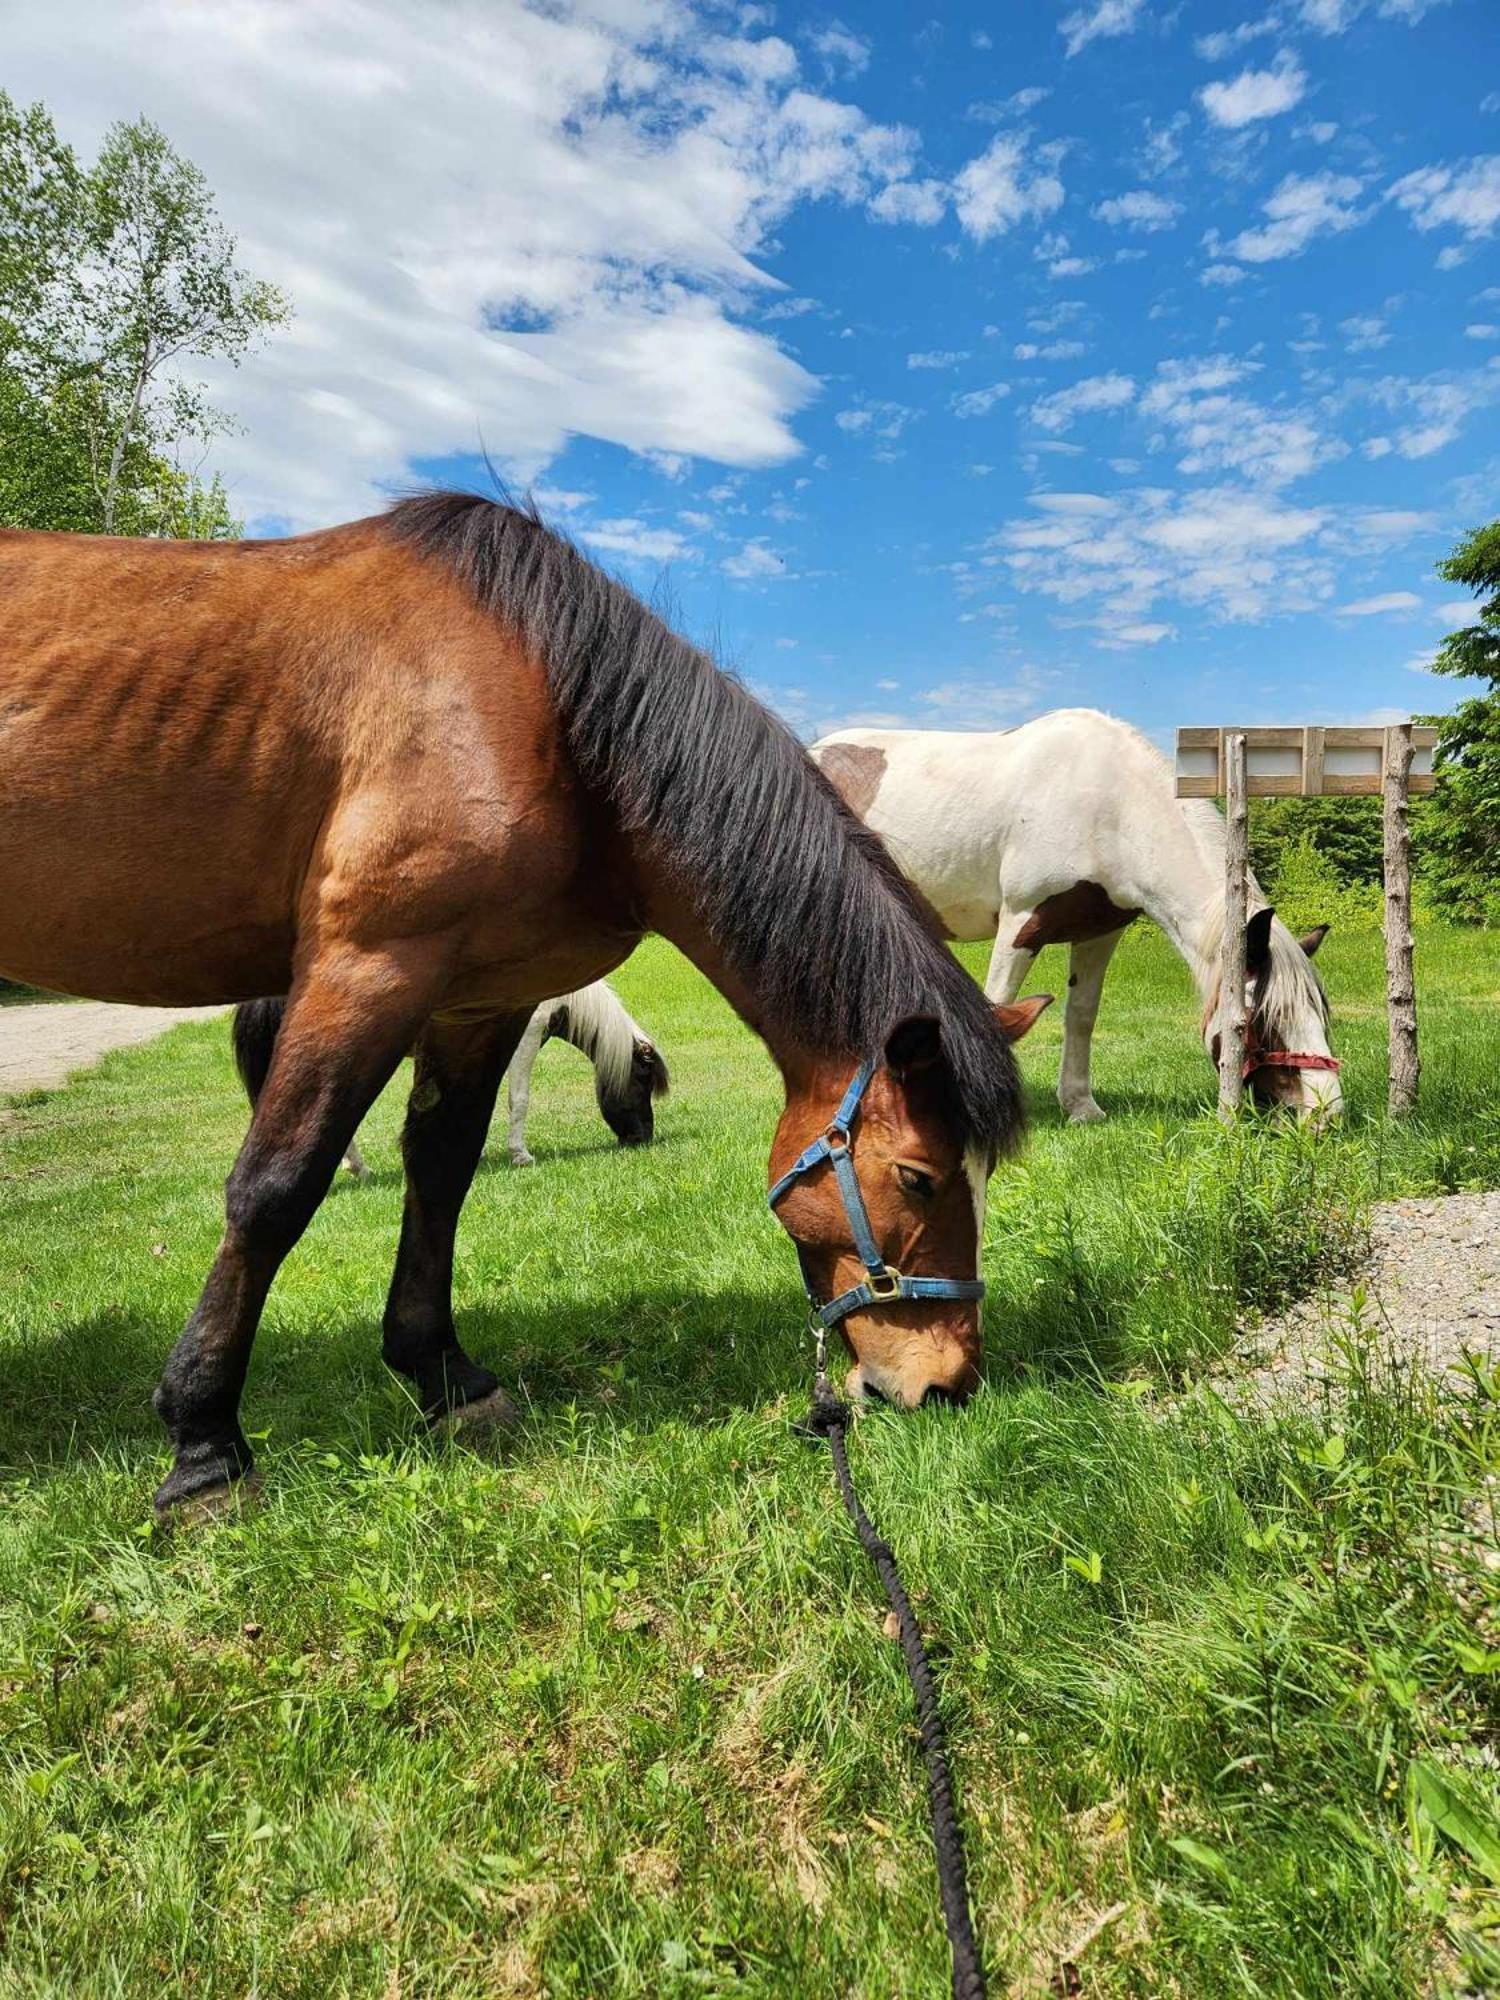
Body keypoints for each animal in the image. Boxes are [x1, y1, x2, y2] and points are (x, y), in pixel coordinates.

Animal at [816, 708, 1344, 1128]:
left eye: (1322, 1011)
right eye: (1262, 1021)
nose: (1325, 1114)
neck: (1110, 806)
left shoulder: (1099, 931)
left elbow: (1082, 1015)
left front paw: (1080, 1107)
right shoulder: (1021, 922)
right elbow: (996, 1006)